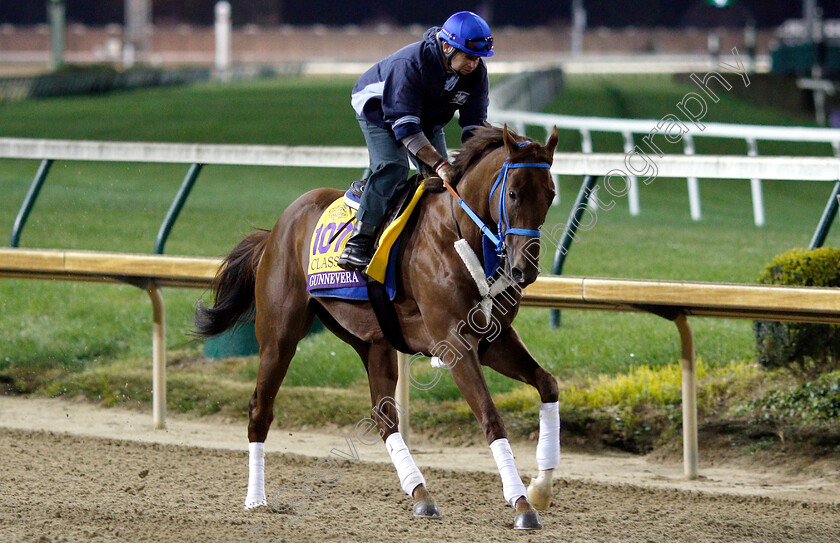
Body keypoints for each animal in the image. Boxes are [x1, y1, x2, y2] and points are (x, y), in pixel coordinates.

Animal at [197, 126, 560, 532]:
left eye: (550, 194)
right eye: (513, 193)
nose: (524, 269)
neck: (460, 234)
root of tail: (276, 228)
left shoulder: (492, 341)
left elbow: (547, 384)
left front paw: (541, 488)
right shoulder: (454, 341)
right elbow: (491, 417)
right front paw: (521, 503)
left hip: (372, 340)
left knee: (384, 416)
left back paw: (421, 493)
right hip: (279, 335)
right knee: (261, 408)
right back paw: (256, 499)